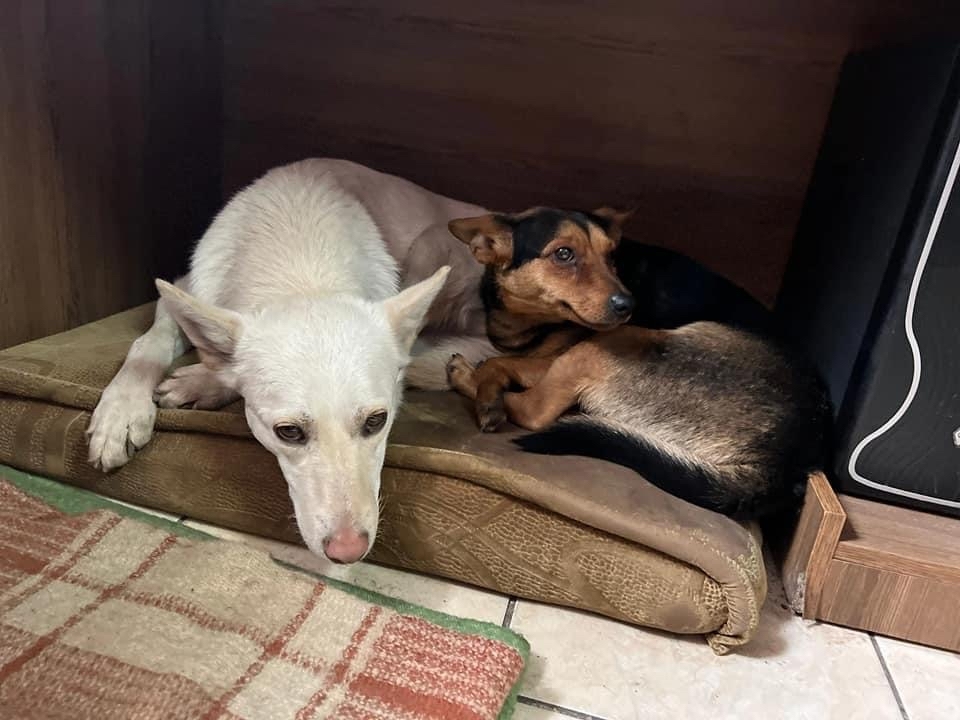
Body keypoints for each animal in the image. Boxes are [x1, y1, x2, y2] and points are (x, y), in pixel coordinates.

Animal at [84, 160, 496, 564]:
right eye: (289, 433)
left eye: (376, 422)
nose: (348, 552)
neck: (300, 269)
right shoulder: (183, 288)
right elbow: (147, 343)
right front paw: (120, 414)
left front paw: (204, 382)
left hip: (431, 246)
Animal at [446, 207, 828, 516]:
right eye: (563, 254)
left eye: (611, 256)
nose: (628, 305)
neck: (526, 318)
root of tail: (788, 460)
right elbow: (501, 358)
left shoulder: (555, 355)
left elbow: (497, 364)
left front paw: (486, 392)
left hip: (613, 342)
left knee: (535, 411)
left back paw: (467, 379)